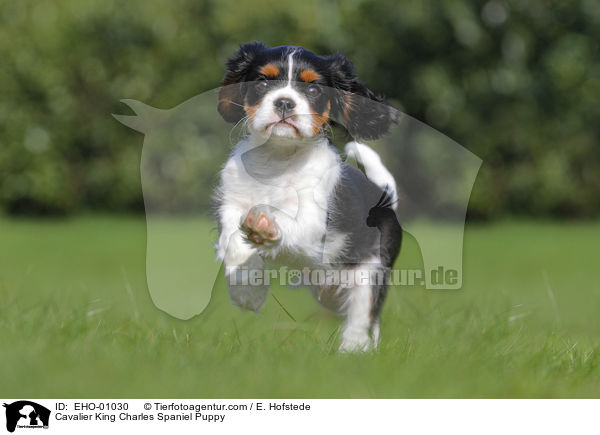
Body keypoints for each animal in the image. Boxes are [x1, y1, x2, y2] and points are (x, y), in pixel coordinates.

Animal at [213, 42, 400, 352]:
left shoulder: (314, 224)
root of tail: (385, 199)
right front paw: (247, 292)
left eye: (313, 90)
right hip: (329, 289)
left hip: (370, 269)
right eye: (262, 82)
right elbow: (234, 244)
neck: (279, 158)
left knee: (364, 314)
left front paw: (263, 228)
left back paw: (353, 351)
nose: (285, 102)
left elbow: (288, 224)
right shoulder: (232, 204)